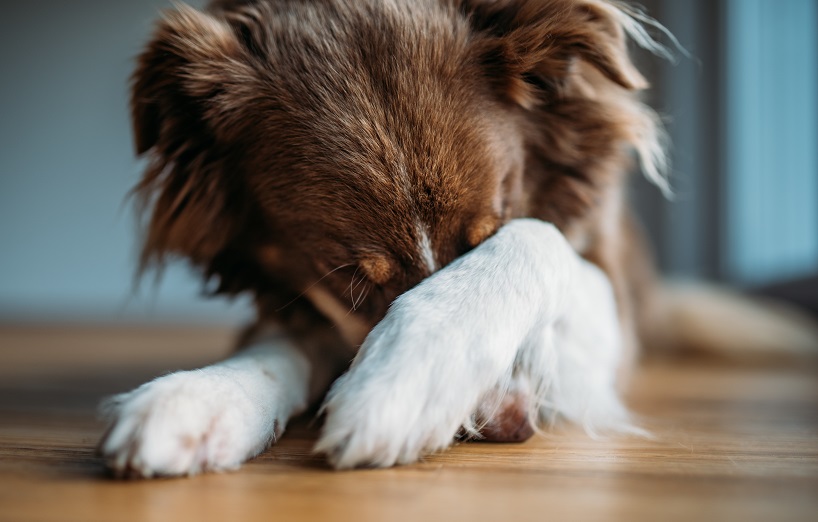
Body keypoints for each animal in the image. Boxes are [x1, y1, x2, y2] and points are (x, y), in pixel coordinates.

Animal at [97, 0, 816, 476]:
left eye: (486, 231)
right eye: (346, 278)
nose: (505, 426)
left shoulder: (608, 307)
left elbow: (535, 236)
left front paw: (410, 375)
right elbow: (278, 343)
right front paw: (200, 399)